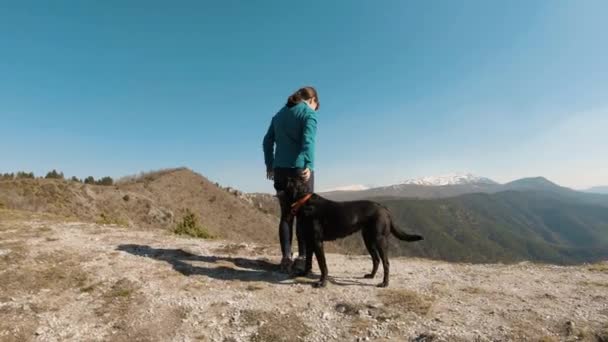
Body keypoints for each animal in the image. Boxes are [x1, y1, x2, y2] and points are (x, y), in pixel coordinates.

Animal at [286, 179, 422, 288]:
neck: (304, 202)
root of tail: (383, 208)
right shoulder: (309, 241)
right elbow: (308, 261)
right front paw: (304, 273)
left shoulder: (317, 242)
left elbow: (322, 264)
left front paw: (322, 282)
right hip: (368, 240)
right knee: (376, 259)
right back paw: (371, 275)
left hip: (380, 240)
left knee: (386, 262)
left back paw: (385, 283)